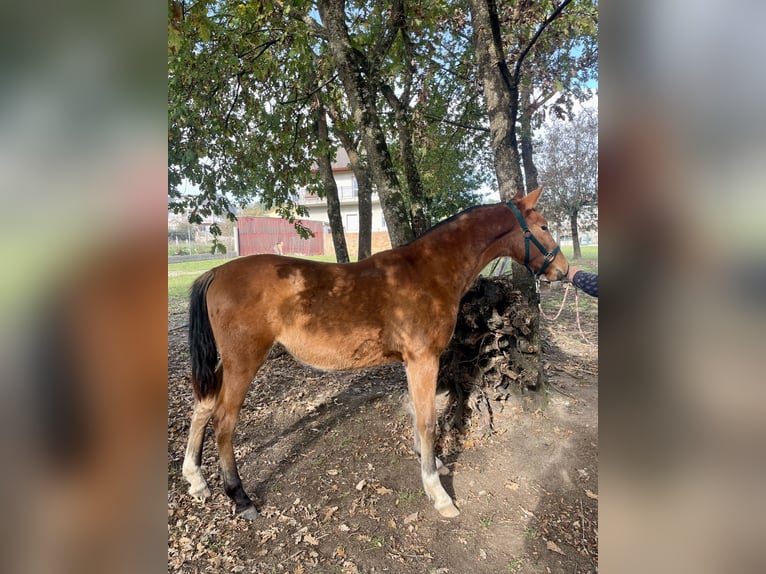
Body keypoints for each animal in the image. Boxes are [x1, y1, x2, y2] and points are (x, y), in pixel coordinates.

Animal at [184, 187, 568, 520]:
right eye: (544, 226)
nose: (562, 270)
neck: (430, 272)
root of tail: (216, 272)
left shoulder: (413, 362)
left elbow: (417, 412)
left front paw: (429, 462)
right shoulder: (424, 359)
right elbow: (427, 420)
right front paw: (438, 492)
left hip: (227, 362)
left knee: (203, 405)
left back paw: (196, 480)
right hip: (243, 361)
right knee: (224, 421)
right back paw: (240, 497)